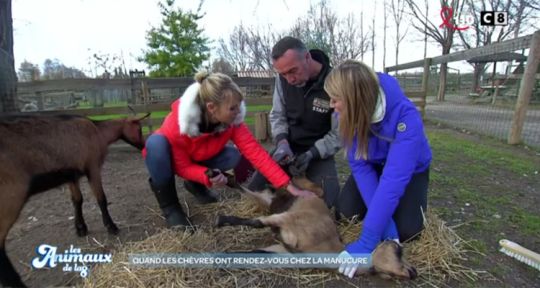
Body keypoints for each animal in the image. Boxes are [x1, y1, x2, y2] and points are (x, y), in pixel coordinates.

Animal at [0, 113, 148, 286]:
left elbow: (77, 200)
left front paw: (80, 228)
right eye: (138, 128)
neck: (98, 131)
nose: (143, 145)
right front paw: (111, 226)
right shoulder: (93, 167)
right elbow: (101, 199)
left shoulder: (72, 175)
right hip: (10, 200)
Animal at [216, 177, 418, 280]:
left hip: (267, 202)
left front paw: (219, 258)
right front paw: (221, 220)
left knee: (251, 193)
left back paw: (230, 181)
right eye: (398, 251)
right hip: (294, 198)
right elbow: (257, 222)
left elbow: (255, 253)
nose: (414, 272)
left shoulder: (284, 250)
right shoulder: (287, 219)